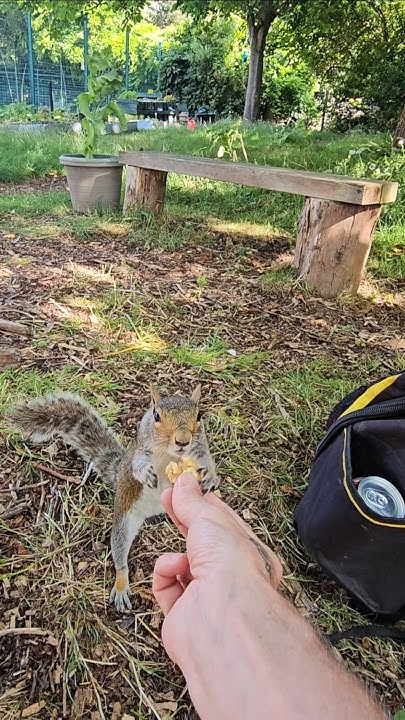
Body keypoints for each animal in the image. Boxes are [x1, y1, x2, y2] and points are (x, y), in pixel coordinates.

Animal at [10, 384, 218, 612]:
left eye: (199, 415)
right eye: (156, 416)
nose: (182, 441)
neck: (170, 455)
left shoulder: (198, 448)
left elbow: (205, 458)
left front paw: (210, 477)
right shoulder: (141, 448)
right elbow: (138, 463)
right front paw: (145, 472)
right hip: (124, 518)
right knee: (119, 553)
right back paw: (120, 584)